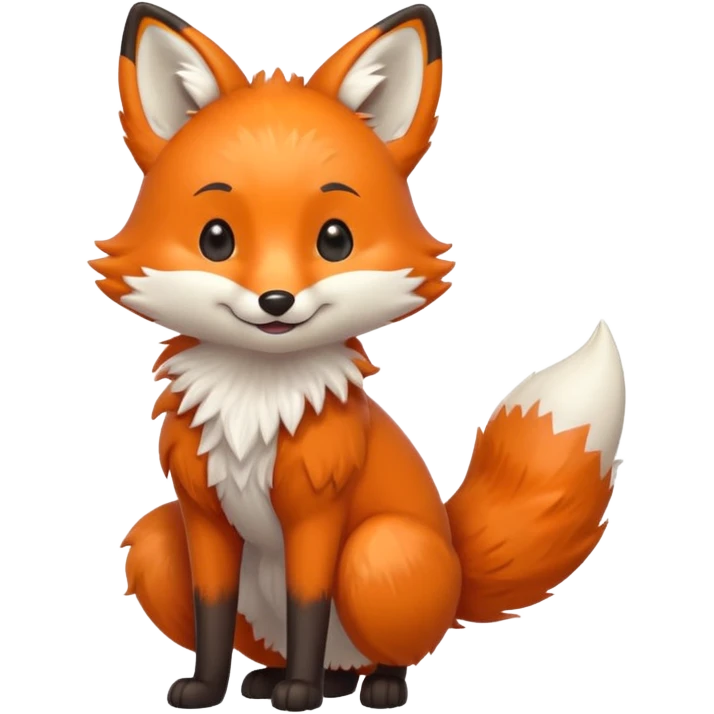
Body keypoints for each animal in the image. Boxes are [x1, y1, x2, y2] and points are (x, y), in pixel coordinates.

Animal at [93, 2, 628, 711]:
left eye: (334, 239)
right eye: (216, 239)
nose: (276, 301)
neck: (255, 406)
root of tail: (458, 566)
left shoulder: (319, 512)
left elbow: (309, 602)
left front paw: (299, 695)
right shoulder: (201, 513)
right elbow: (213, 614)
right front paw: (208, 688)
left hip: (381, 552)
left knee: (382, 651)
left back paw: (366, 685)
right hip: (158, 540)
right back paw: (282, 678)